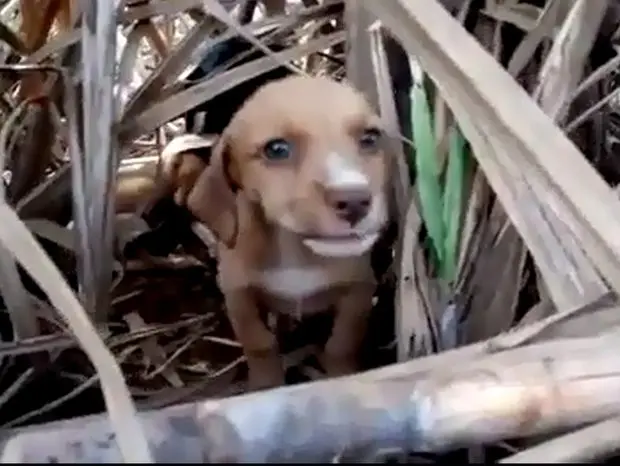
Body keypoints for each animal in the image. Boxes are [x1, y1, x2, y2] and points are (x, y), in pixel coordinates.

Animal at [186, 76, 390, 390]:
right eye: (277, 149)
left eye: (369, 139)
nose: (355, 202)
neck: (296, 251)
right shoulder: (238, 297)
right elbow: (260, 344)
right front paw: (265, 385)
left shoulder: (359, 290)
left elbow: (341, 344)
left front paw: (343, 377)